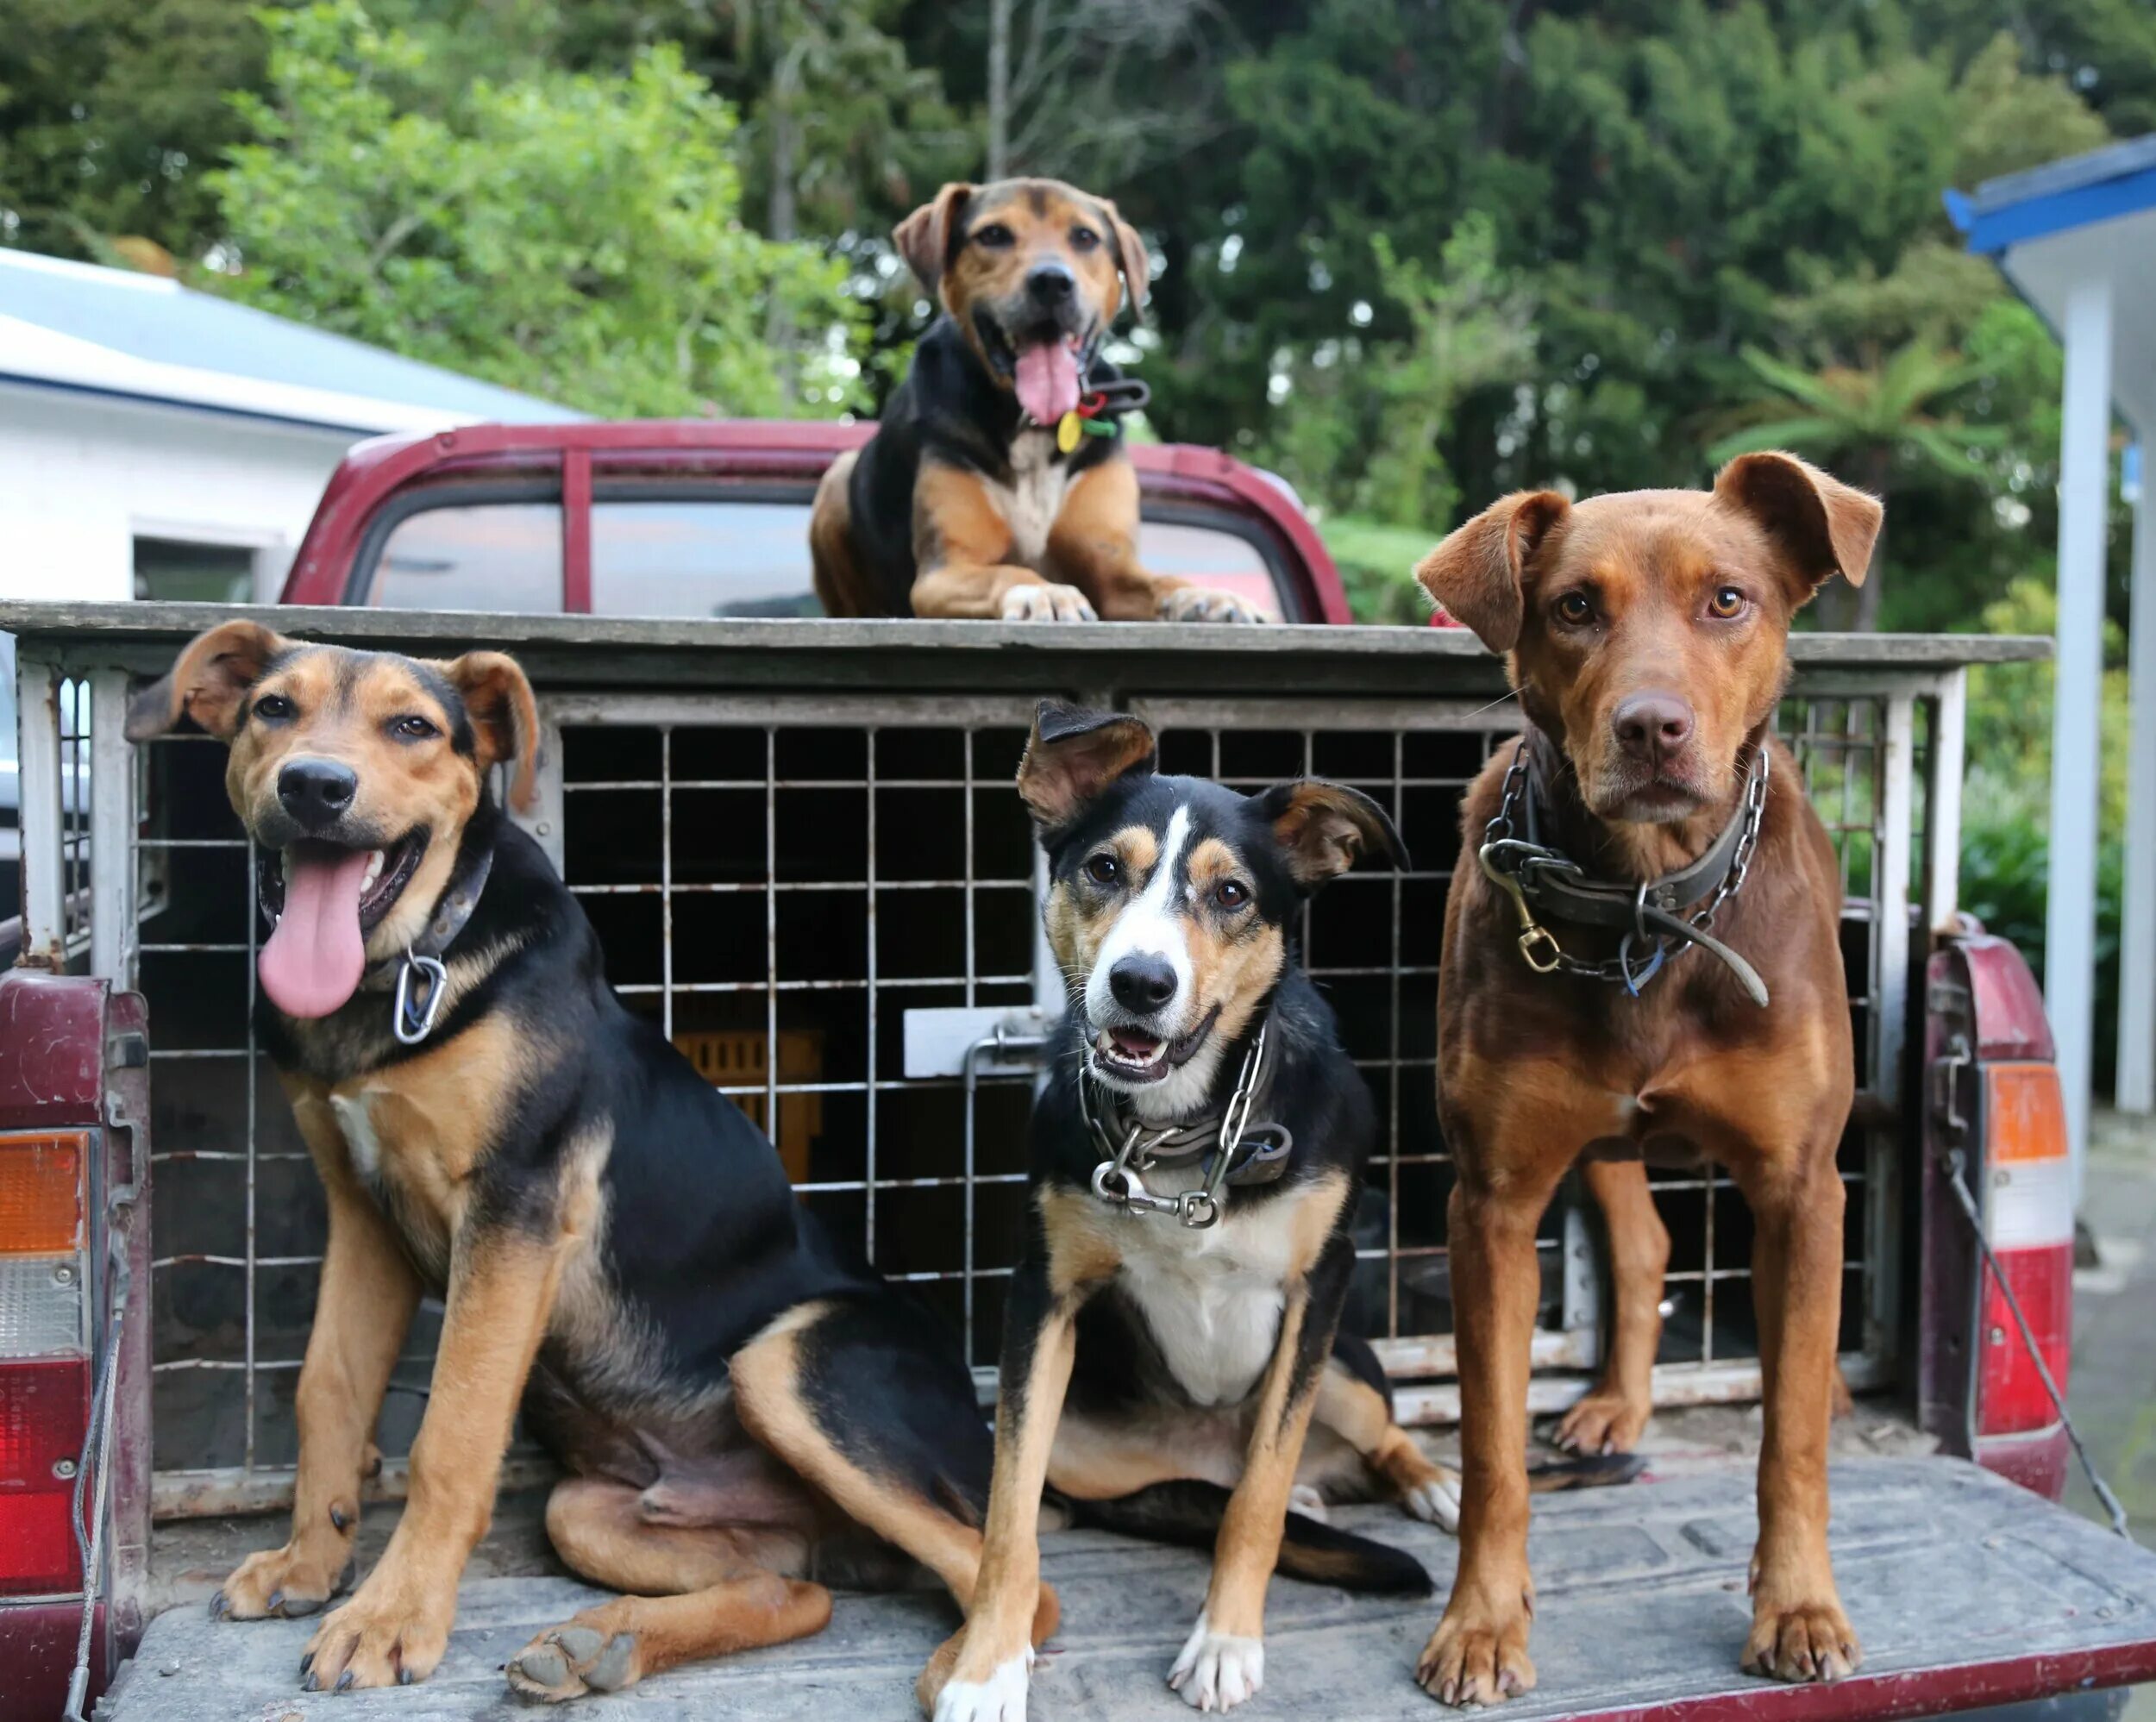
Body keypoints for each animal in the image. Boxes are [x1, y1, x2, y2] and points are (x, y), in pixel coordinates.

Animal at [128, 624, 1061, 1706]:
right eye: (273, 709)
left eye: (412, 726)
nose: (315, 785)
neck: (400, 973)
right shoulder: (361, 1216)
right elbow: (329, 1388)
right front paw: (308, 1567)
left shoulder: (515, 1206)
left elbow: (452, 1433)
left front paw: (389, 1618)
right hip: (595, 1512)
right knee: (797, 1588)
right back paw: (598, 1643)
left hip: (792, 1362)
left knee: (1017, 1581)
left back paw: (969, 1669)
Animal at [815, 179, 1268, 624]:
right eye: (993, 235)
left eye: (1085, 237)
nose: (1052, 281)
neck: (1032, 422)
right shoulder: (946, 570)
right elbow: (1009, 571)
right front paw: (1044, 592)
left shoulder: (1110, 567)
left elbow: (1163, 581)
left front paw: (1209, 595)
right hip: (837, 479)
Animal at [918, 702, 1457, 1722]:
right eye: (1102, 869)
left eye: (1233, 892)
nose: (1141, 982)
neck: (1177, 1129)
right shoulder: (1041, 1296)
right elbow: (1008, 1513)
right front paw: (986, 1664)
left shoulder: (1318, 1287)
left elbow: (1258, 1499)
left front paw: (1223, 1643)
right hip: (1086, 1436)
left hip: (1346, 1366)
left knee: (1356, 1441)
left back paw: (1433, 1483)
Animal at [1406, 450, 1880, 1706]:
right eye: (1574, 606)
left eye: (1728, 599)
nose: (1651, 727)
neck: (1646, 908)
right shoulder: (1493, 1200)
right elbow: (1490, 1443)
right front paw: (1482, 1622)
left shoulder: (1801, 1184)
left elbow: (1790, 1435)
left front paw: (1797, 1605)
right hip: (1597, 1137)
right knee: (1644, 1240)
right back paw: (1615, 1404)